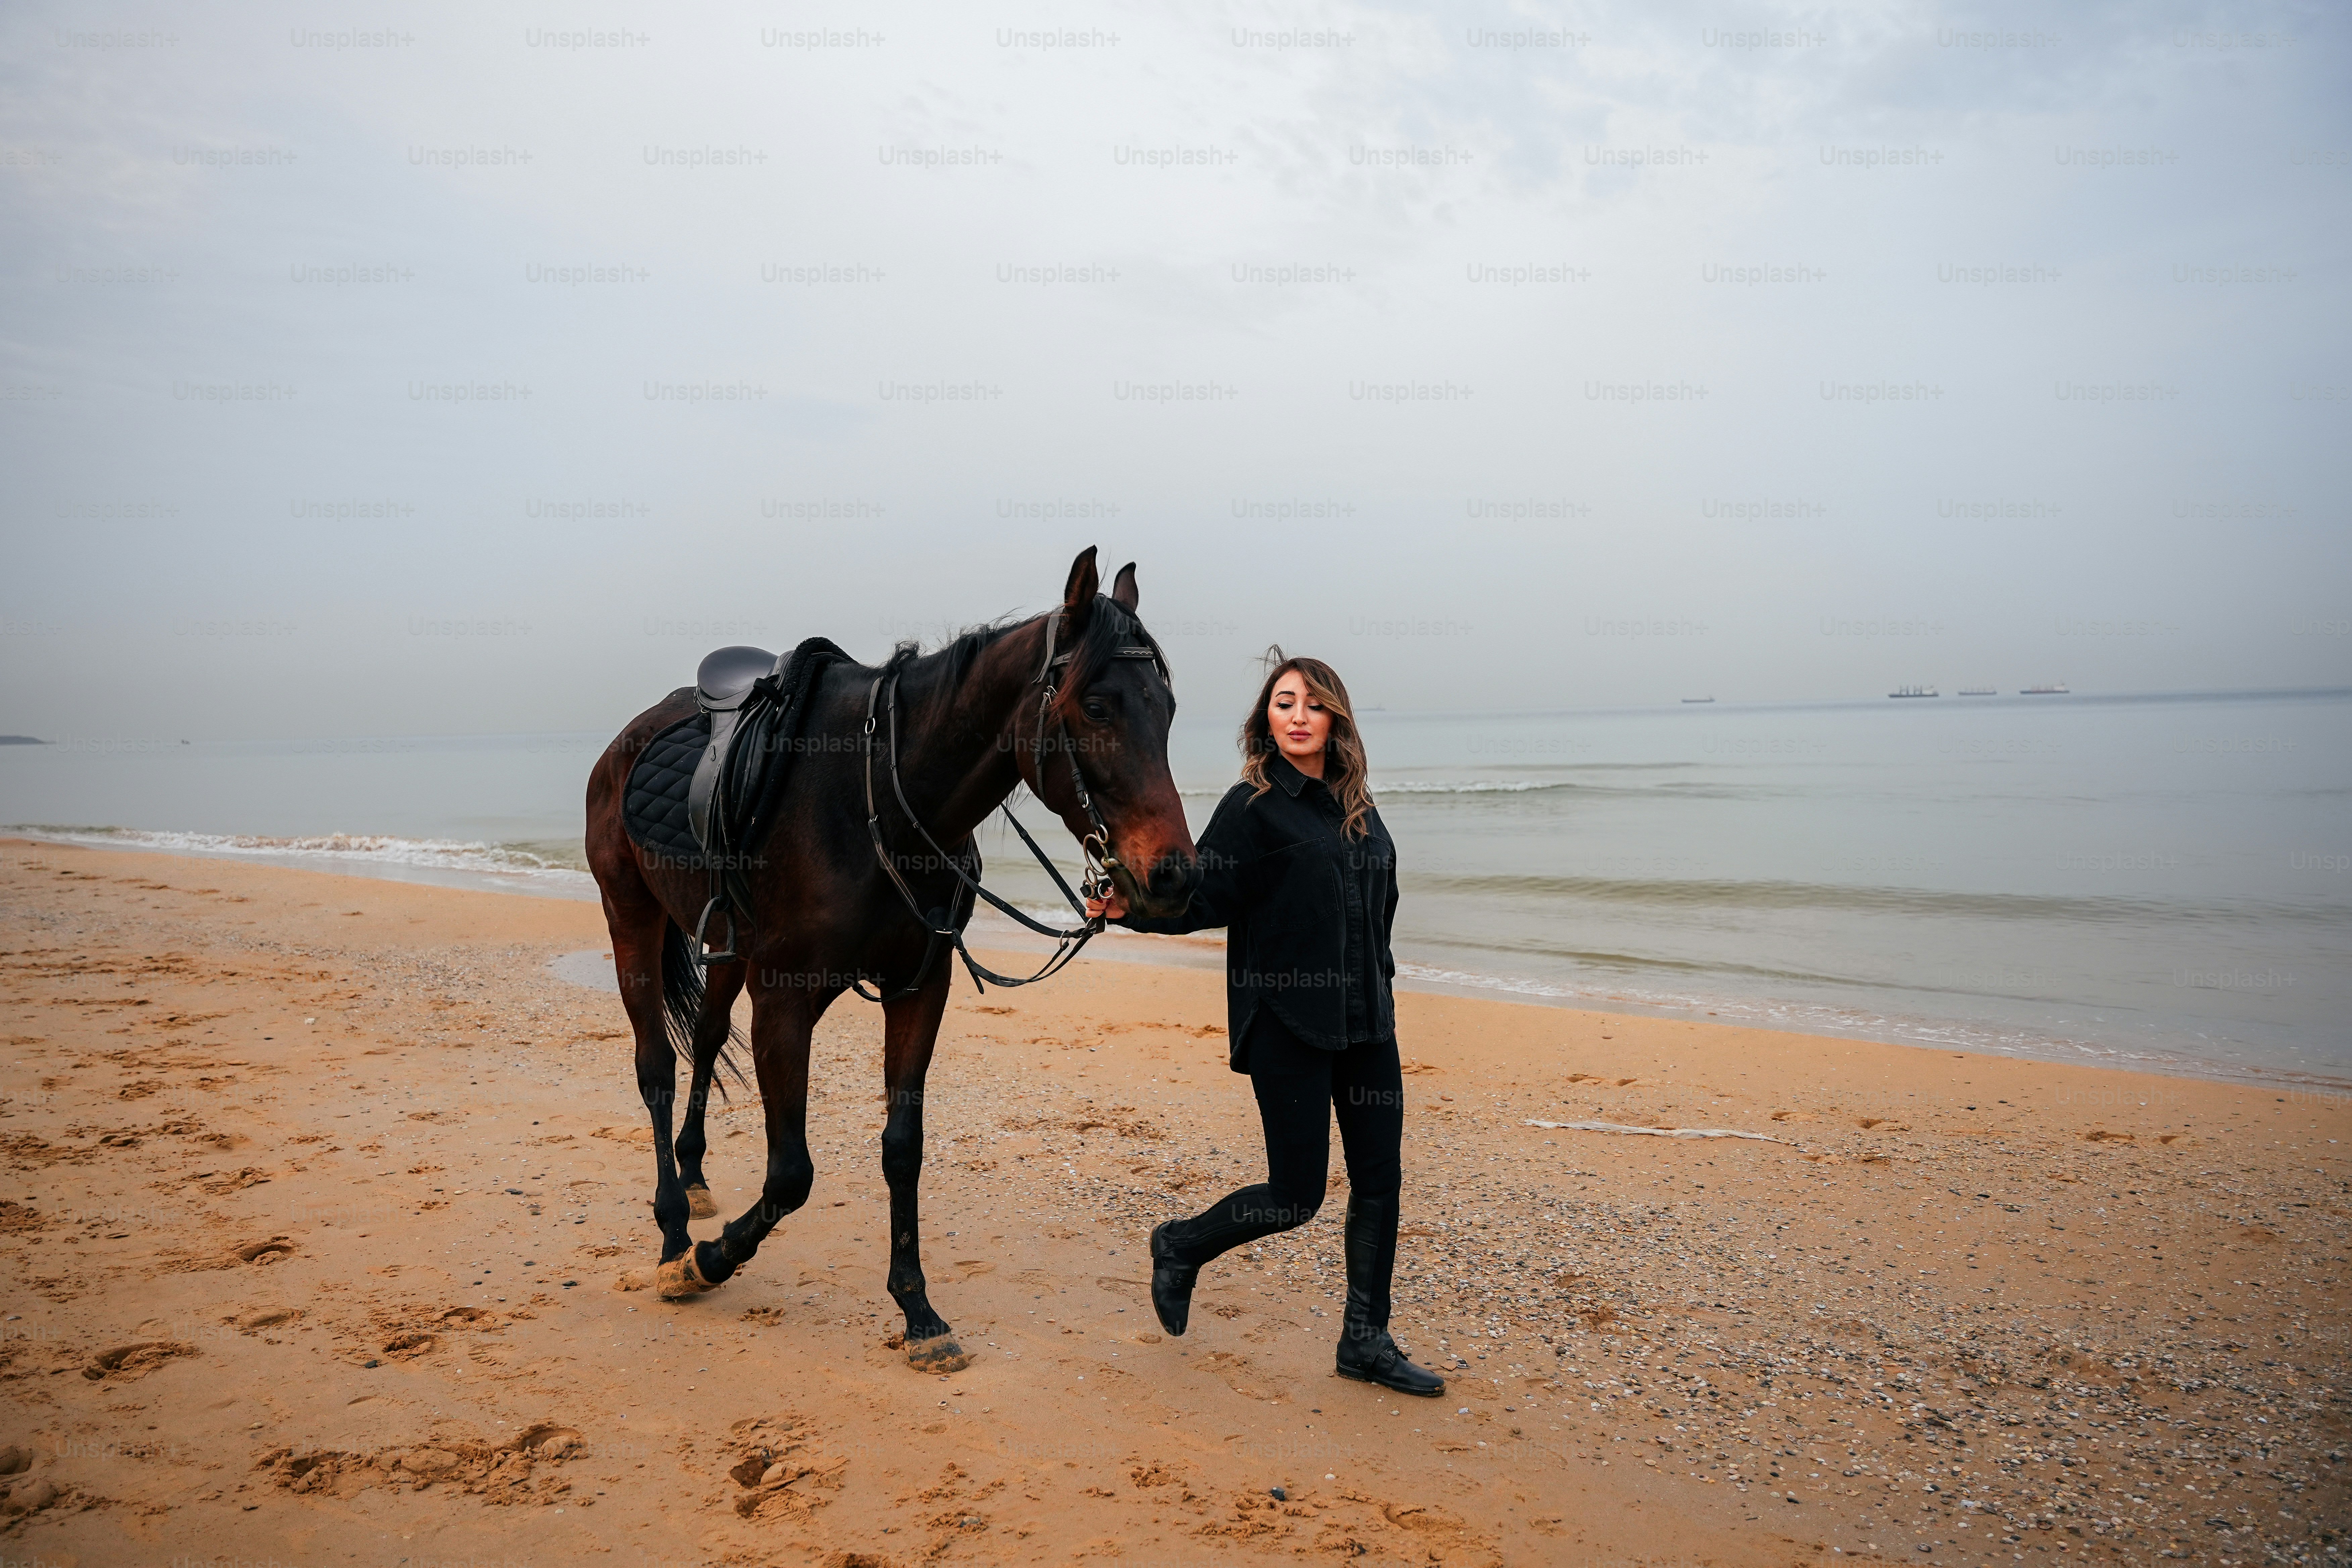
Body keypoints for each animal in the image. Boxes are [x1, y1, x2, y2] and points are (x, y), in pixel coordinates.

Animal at [583, 547, 1198, 1368]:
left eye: (1166, 709)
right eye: (1097, 707)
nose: (1175, 875)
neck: (876, 797)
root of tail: (633, 734)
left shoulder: (916, 985)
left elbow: (902, 1148)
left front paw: (917, 1308)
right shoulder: (785, 994)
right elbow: (792, 1172)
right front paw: (708, 1261)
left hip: (726, 950)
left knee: (708, 1039)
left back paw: (695, 1173)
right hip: (633, 918)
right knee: (655, 1066)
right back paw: (675, 1232)